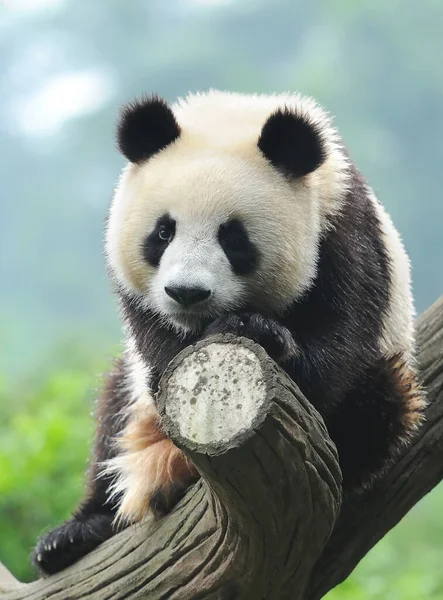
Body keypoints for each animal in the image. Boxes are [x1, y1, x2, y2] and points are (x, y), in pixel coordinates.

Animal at [32, 90, 426, 576]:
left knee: (378, 404)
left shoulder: (344, 232)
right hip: (132, 401)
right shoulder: (141, 308)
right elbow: (155, 347)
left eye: (234, 238)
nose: (187, 292)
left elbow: (337, 345)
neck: (236, 115)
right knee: (113, 414)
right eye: (163, 232)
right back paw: (74, 535)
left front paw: (256, 330)